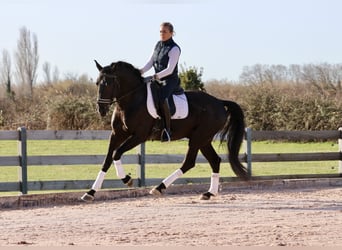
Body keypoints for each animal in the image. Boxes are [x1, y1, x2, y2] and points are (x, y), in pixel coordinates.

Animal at [83, 60, 248, 201]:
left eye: (108, 83)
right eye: (97, 83)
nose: (101, 109)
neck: (131, 101)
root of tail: (219, 102)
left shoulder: (139, 136)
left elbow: (116, 154)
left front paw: (127, 180)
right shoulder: (117, 135)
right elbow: (107, 160)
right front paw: (90, 192)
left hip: (198, 138)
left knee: (189, 163)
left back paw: (159, 188)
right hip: (203, 140)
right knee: (214, 161)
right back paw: (209, 193)